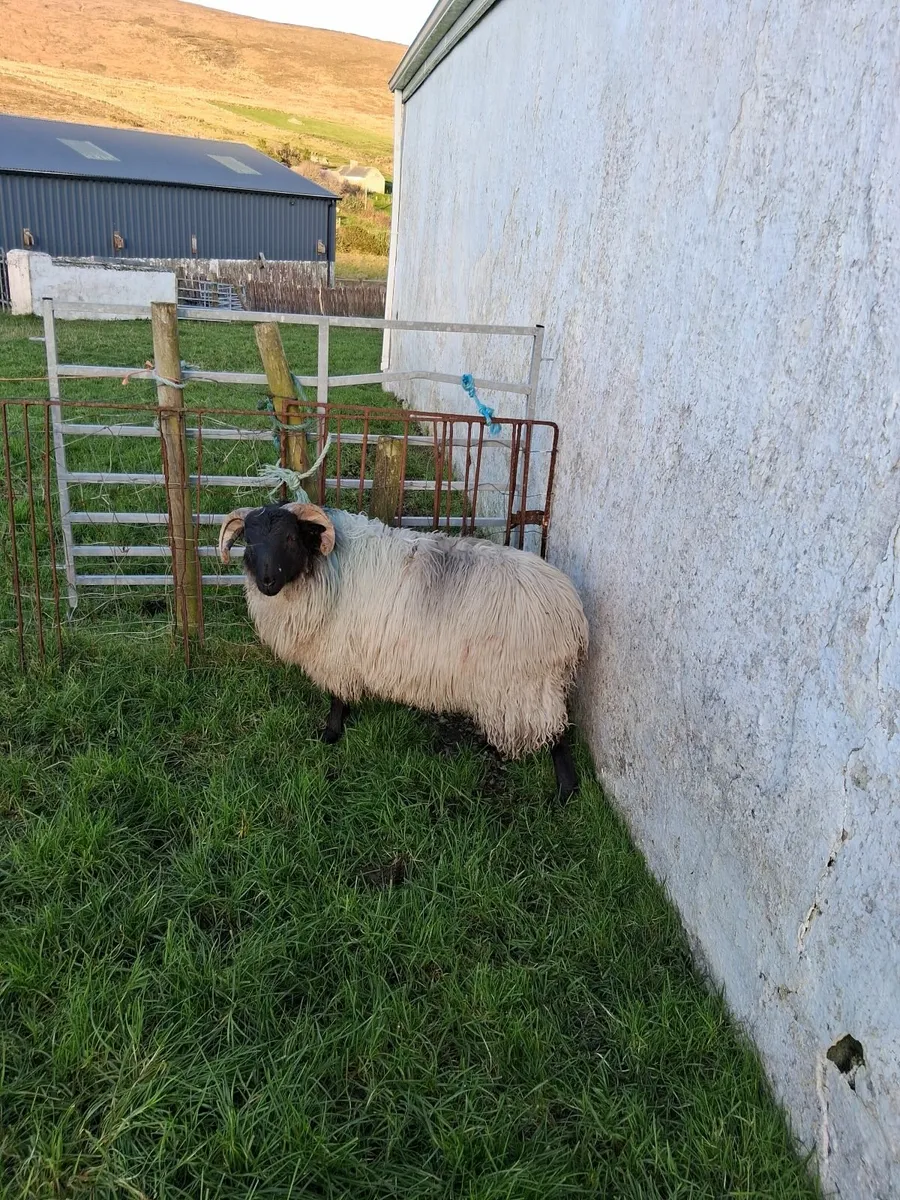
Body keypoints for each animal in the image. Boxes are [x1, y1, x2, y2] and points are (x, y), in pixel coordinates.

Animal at [218, 501, 589, 799]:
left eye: (290, 539)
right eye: (249, 541)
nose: (267, 582)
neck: (325, 568)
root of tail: (573, 615)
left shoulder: (337, 654)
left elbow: (337, 698)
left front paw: (331, 734)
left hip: (525, 684)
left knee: (557, 733)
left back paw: (565, 790)